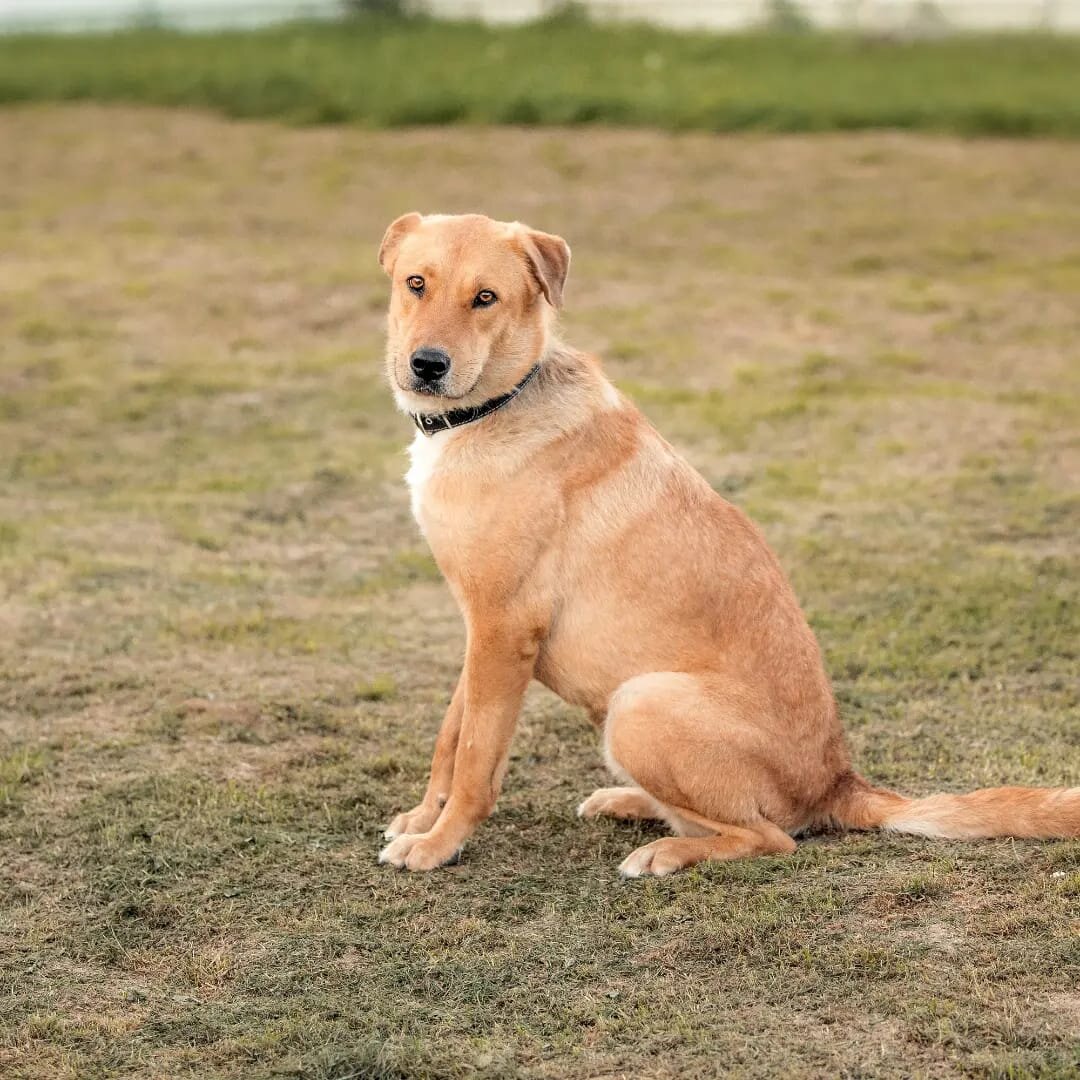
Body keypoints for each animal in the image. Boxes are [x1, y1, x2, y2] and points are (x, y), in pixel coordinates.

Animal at [378, 212, 1080, 876]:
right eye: (416, 284)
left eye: (486, 298)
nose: (427, 365)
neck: (497, 405)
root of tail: (840, 784)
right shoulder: (481, 628)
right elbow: (451, 740)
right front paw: (423, 819)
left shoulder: (504, 627)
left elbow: (476, 760)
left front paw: (438, 844)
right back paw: (630, 802)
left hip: (640, 704)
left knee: (768, 837)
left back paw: (665, 851)